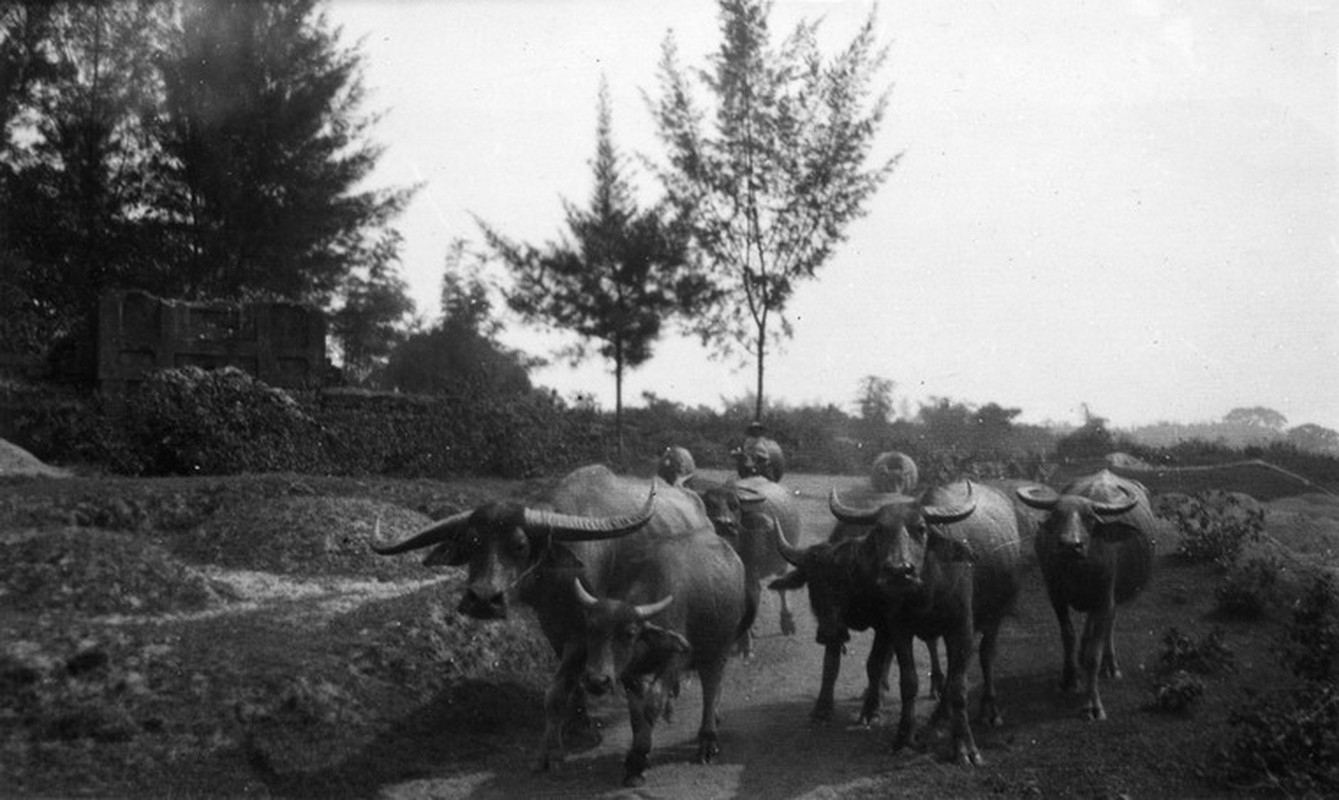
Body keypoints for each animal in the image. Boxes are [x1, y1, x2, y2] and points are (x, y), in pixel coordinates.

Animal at [372, 460, 755, 782]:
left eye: (519, 545)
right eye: (472, 542)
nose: (483, 599)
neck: (556, 578)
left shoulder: (582, 634)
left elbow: (561, 688)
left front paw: (557, 749)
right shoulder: (557, 631)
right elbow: (563, 689)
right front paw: (573, 730)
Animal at [824, 477, 1022, 766]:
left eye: (921, 529)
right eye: (879, 530)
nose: (899, 571)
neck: (927, 589)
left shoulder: (961, 627)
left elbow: (959, 687)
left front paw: (965, 747)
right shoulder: (899, 628)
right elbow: (909, 683)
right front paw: (904, 738)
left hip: (996, 613)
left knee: (986, 656)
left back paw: (989, 712)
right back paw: (939, 717)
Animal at [1017, 463, 1156, 718]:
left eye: (1090, 517)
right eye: (1056, 515)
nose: (1071, 545)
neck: (1078, 571)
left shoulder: (1105, 599)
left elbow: (1095, 654)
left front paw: (1092, 704)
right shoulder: (1056, 597)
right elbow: (1067, 636)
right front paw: (1068, 679)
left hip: (1113, 597)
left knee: (1109, 626)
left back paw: (1111, 666)